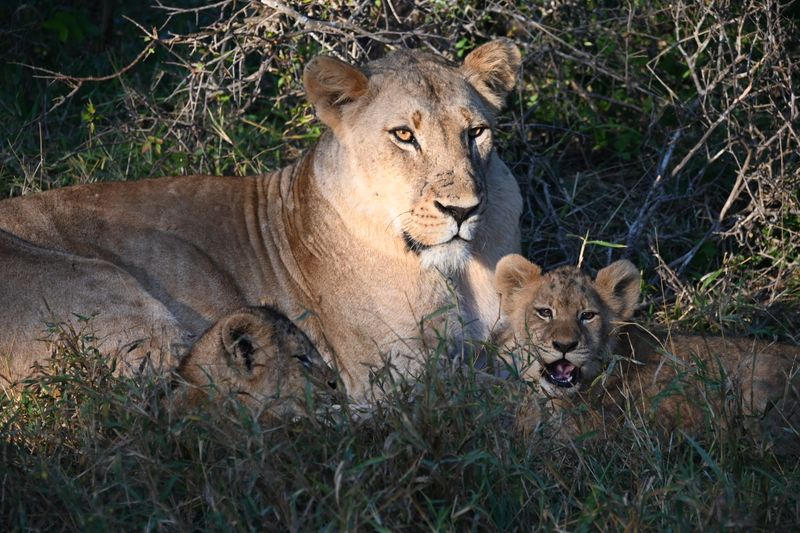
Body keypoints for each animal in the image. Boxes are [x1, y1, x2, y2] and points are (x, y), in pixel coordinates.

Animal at [0, 40, 523, 401]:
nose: (463, 210)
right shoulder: (393, 376)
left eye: (476, 132)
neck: (457, 271)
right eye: (403, 135)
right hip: (113, 294)